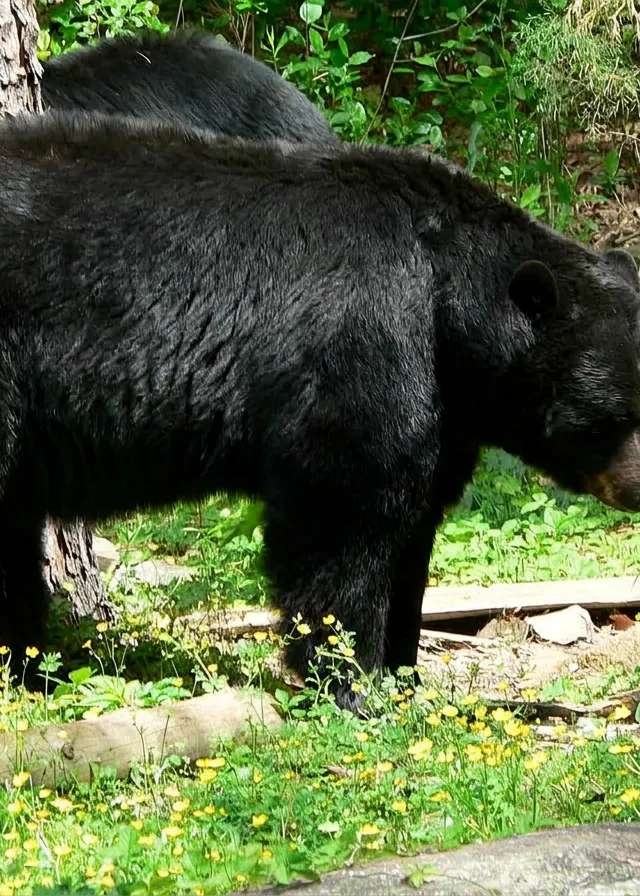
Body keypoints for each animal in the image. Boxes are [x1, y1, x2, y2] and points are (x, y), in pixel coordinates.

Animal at [0, 110, 639, 709]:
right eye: (613, 413)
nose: (637, 490)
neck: (444, 296)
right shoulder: (366, 339)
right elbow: (344, 506)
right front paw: (349, 682)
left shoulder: (444, 407)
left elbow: (414, 524)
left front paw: (402, 675)